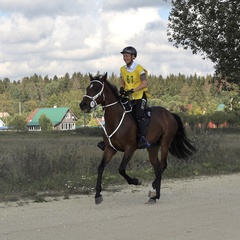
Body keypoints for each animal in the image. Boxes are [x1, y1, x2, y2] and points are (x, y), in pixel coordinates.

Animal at [79, 73, 196, 204]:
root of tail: (170, 114)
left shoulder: (130, 148)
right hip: (153, 147)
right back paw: (155, 196)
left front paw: (136, 181)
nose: (83, 105)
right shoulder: (110, 149)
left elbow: (121, 169)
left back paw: (152, 190)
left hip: (165, 143)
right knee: (157, 167)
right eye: (87, 88)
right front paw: (98, 195)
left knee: (163, 166)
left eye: (97, 89)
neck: (115, 119)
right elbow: (100, 168)